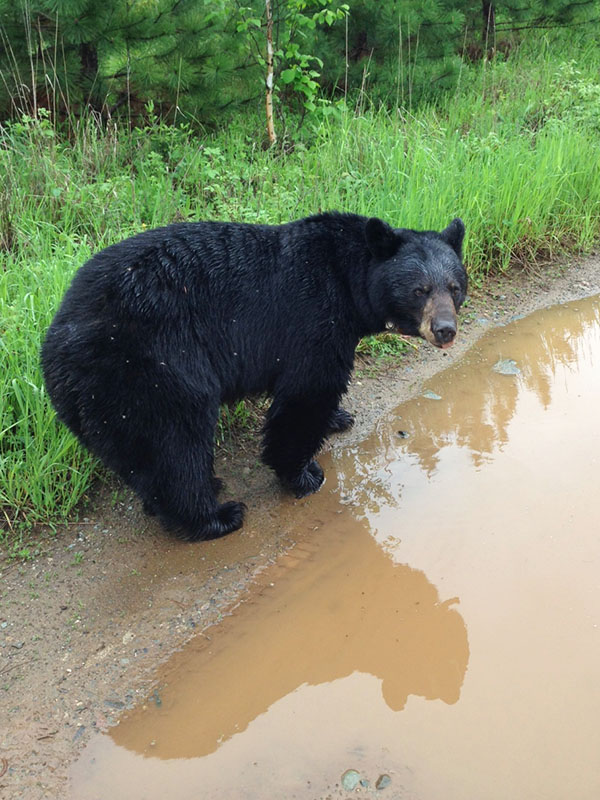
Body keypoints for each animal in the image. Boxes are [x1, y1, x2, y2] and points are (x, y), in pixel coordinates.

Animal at [41, 212, 467, 541]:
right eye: (419, 290)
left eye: (454, 287)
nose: (445, 329)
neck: (348, 281)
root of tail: (55, 344)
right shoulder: (313, 320)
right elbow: (307, 392)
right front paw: (304, 474)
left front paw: (338, 418)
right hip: (152, 368)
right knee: (174, 443)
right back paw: (214, 516)